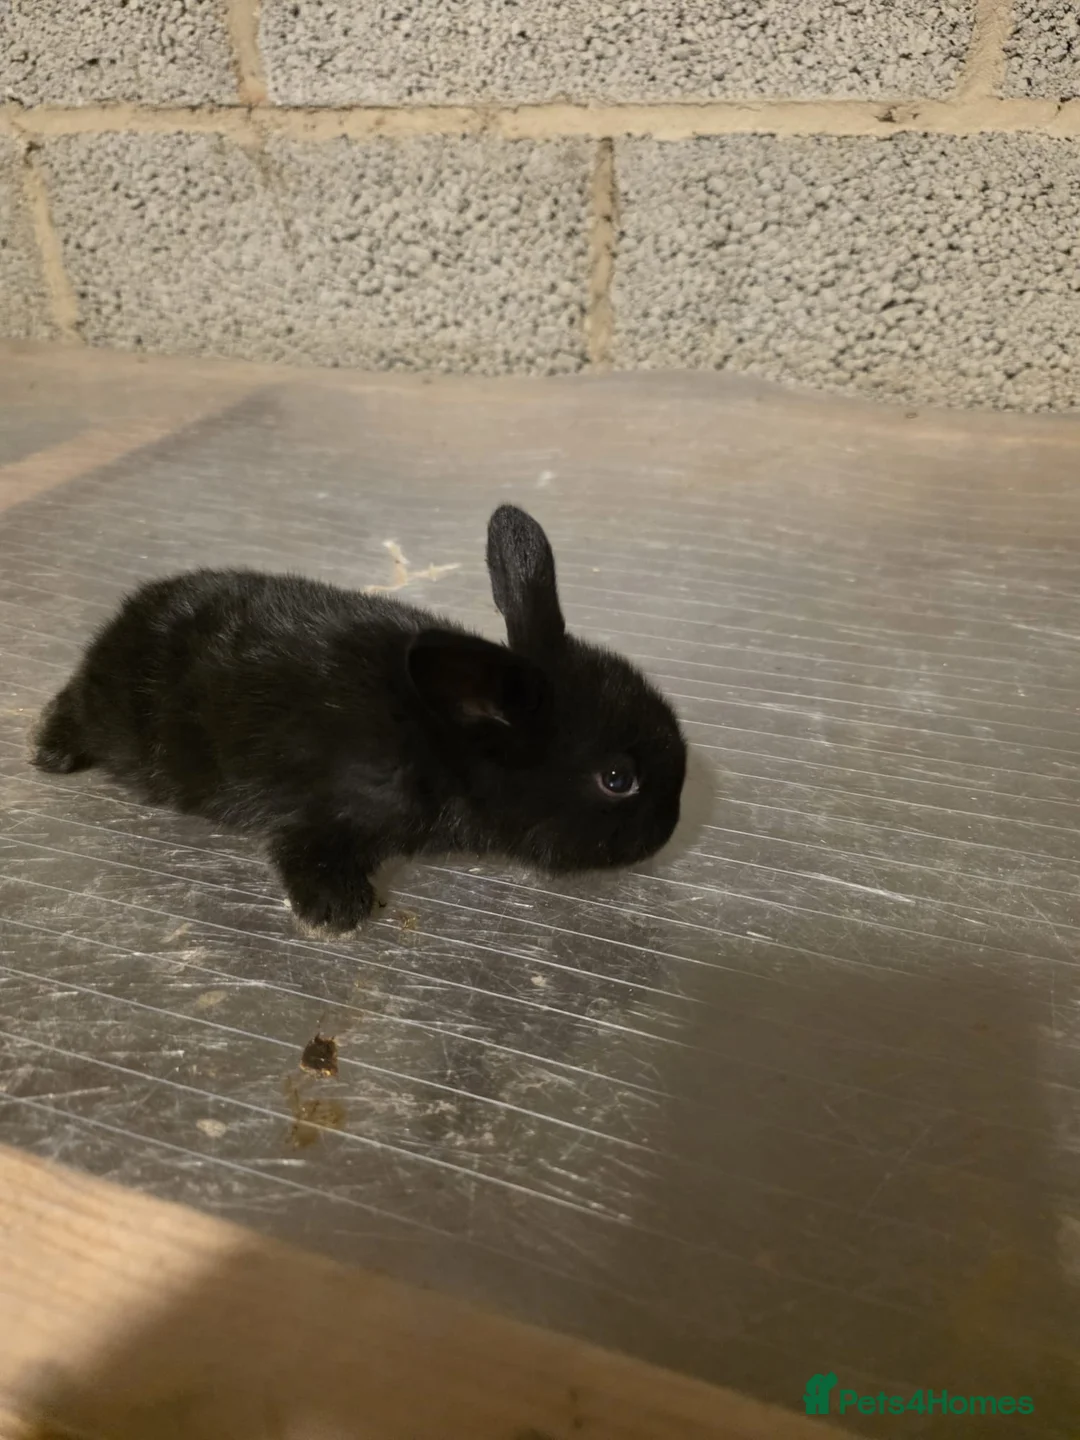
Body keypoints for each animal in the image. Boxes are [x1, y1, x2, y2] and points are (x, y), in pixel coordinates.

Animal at [31, 504, 687, 935]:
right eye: (618, 779)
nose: (671, 826)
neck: (442, 747)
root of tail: (124, 619)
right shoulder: (324, 816)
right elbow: (306, 854)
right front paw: (336, 914)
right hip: (109, 719)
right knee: (70, 707)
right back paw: (49, 752)